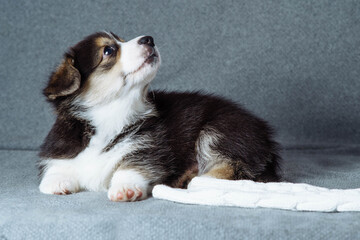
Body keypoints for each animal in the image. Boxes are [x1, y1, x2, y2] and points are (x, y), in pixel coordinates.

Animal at [38, 31, 282, 201]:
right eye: (108, 50)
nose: (149, 39)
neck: (111, 114)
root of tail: (266, 138)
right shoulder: (61, 151)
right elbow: (55, 169)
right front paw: (55, 184)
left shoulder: (147, 151)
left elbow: (129, 167)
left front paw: (125, 190)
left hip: (219, 130)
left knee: (233, 167)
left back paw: (195, 179)